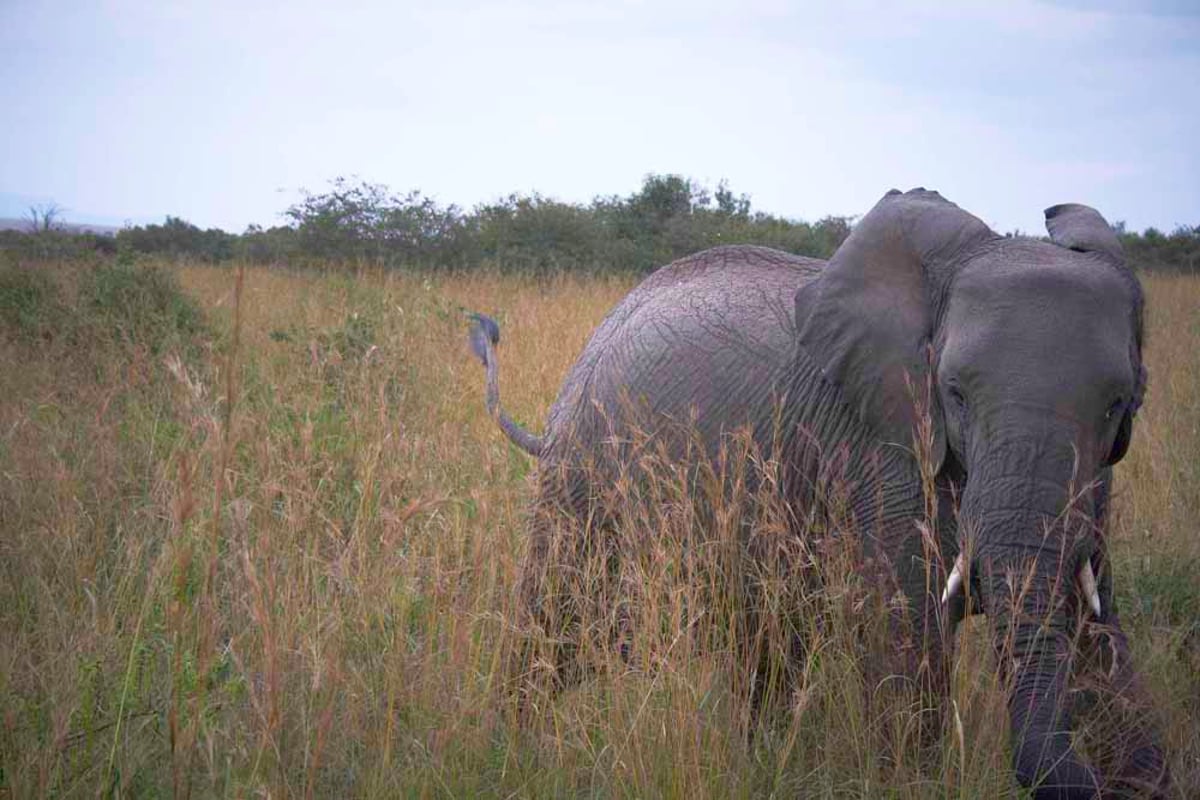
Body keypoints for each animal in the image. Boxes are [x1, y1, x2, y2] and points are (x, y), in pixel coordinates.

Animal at [468, 189, 1171, 800]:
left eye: (1121, 403)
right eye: (954, 395)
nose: (1082, 780)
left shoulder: (1091, 485)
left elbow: (1097, 635)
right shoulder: (883, 455)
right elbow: (907, 640)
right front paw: (909, 784)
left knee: (765, 643)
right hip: (584, 478)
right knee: (558, 621)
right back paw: (510, 752)